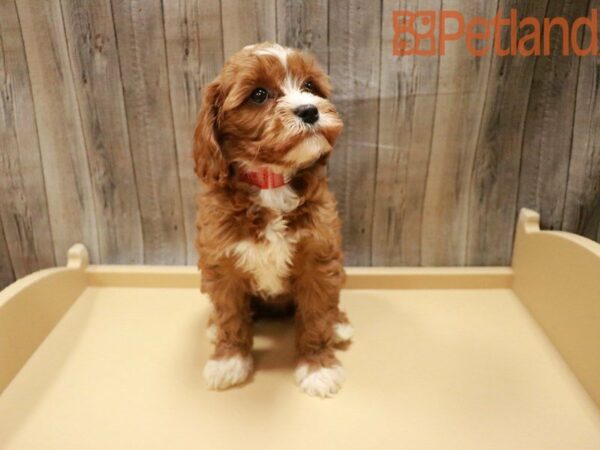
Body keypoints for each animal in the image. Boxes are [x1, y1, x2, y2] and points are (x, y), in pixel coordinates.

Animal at [193, 41, 352, 394]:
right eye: (259, 94)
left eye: (309, 86)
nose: (310, 110)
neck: (271, 180)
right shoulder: (222, 261)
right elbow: (230, 314)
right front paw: (229, 360)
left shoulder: (318, 256)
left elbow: (317, 314)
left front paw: (318, 367)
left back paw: (339, 325)